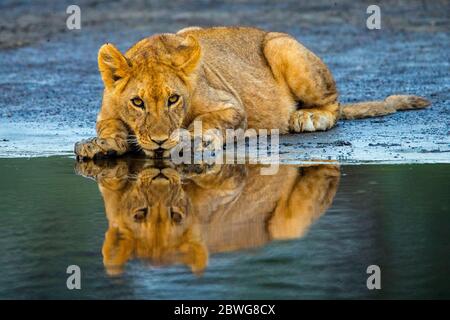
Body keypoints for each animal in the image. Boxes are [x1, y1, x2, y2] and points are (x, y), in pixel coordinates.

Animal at [73, 26, 428, 159]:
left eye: (173, 99)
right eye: (137, 102)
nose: (160, 141)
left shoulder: (232, 106)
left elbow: (209, 121)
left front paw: (193, 140)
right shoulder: (105, 113)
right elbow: (109, 127)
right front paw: (99, 145)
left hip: (281, 46)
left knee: (335, 106)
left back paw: (308, 117)